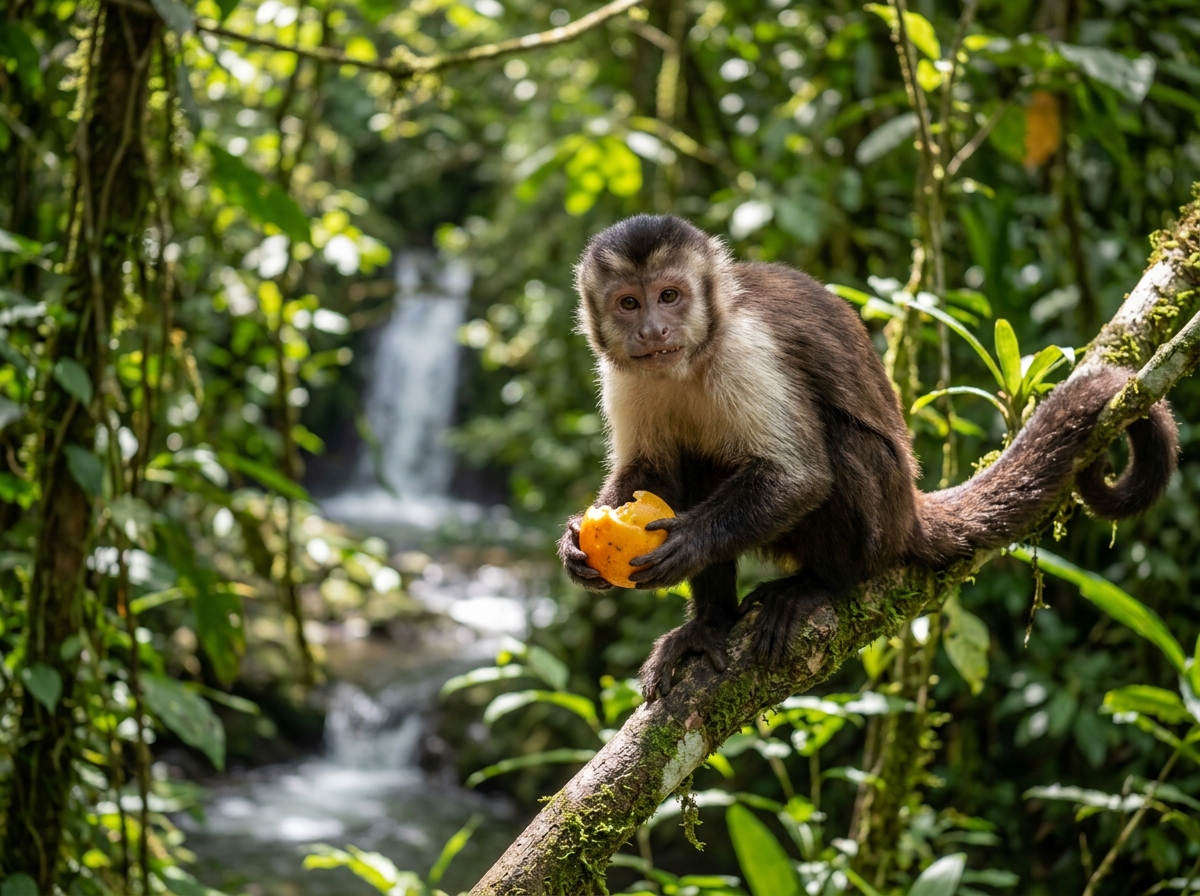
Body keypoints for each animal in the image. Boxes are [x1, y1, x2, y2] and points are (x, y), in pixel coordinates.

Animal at [556, 214, 1179, 701]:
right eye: (629, 303)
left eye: (670, 296)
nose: (653, 329)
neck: (691, 359)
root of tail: (909, 513)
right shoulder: (623, 376)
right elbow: (647, 472)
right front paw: (577, 545)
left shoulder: (746, 348)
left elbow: (800, 476)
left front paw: (686, 542)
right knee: (691, 464)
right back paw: (710, 626)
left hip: (881, 520)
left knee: (839, 449)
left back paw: (821, 586)